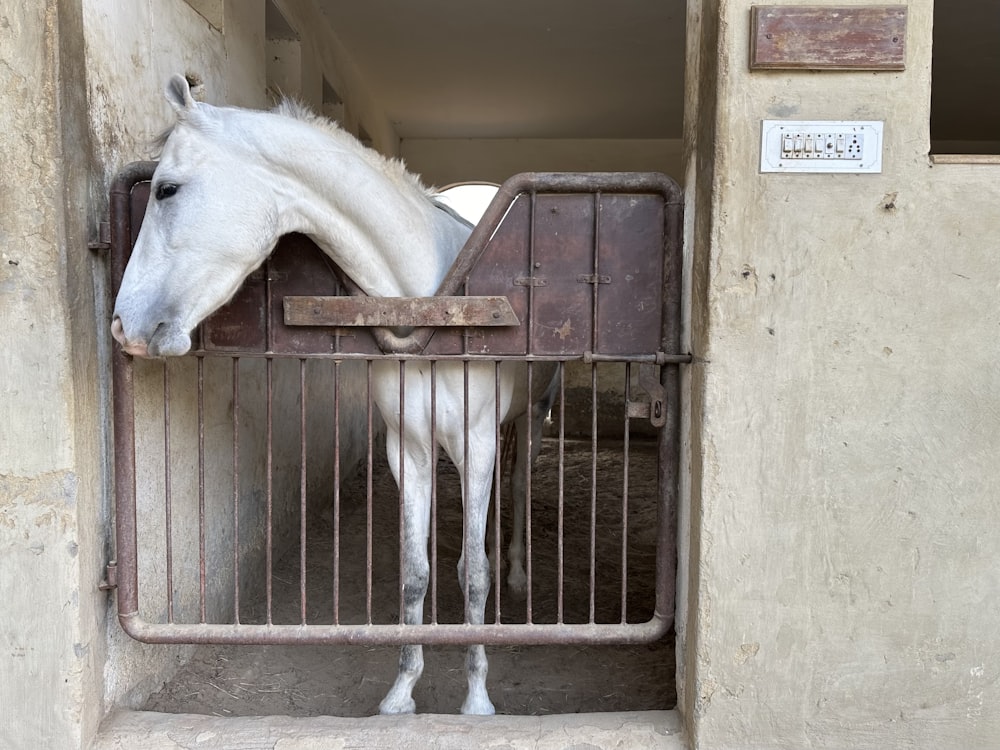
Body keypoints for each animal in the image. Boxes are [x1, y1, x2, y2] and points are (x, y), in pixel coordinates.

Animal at [115, 75, 564, 716]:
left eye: (166, 189)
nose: (122, 324)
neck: (426, 306)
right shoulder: (408, 448)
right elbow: (415, 571)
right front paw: (401, 693)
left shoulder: (474, 443)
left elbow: (472, 573)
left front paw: (477, 699)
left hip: (531, 419)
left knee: (521, 487)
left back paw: (520, 574)